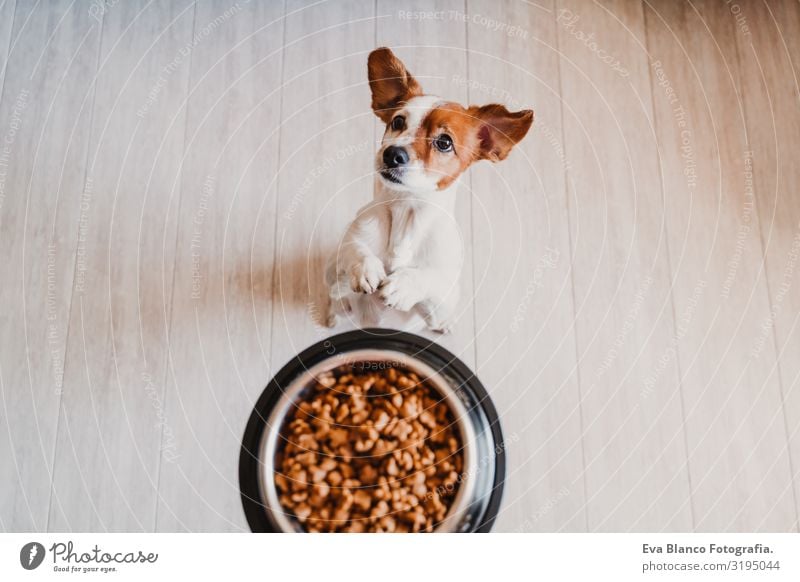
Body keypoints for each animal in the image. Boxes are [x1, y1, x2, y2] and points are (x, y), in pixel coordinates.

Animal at [322, 46, 536, 334]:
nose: (392, 154)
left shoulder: (444, 294)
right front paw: (365, 267)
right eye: (397, 122)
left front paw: (405, 284)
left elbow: (430, 278)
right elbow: (352, 248)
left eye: (444, 142)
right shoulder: (339, 268)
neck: (405, 209)